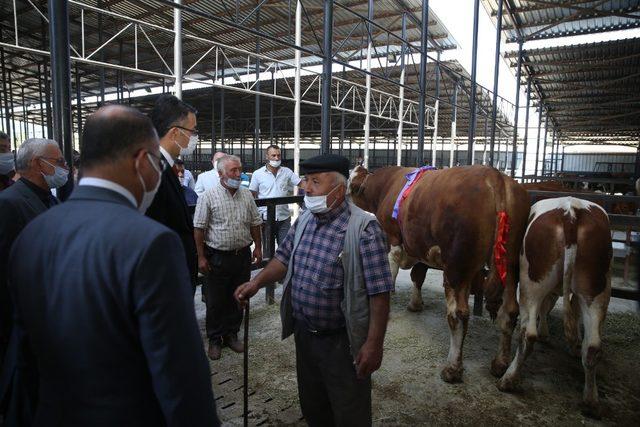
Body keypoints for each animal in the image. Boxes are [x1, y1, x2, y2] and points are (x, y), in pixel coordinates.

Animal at [350, 166, 528, 382]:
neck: (387, 185)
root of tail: (494, 177)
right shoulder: (420, 247)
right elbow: (417, 276)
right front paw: (415, 304)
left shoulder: (392, 239)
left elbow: (391, 273)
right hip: (510, 267)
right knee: (509, 311)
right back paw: (500, 364)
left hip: (457, 268)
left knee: (458, 315)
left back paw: (452, 368)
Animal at [498, 197, 612, 418]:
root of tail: (572, 212)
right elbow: (562, 310)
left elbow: (548, 308)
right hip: (596, 290)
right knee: (592, 345)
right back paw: (591, 401)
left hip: (532, 283)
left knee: (529, 334)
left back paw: (508, 380)